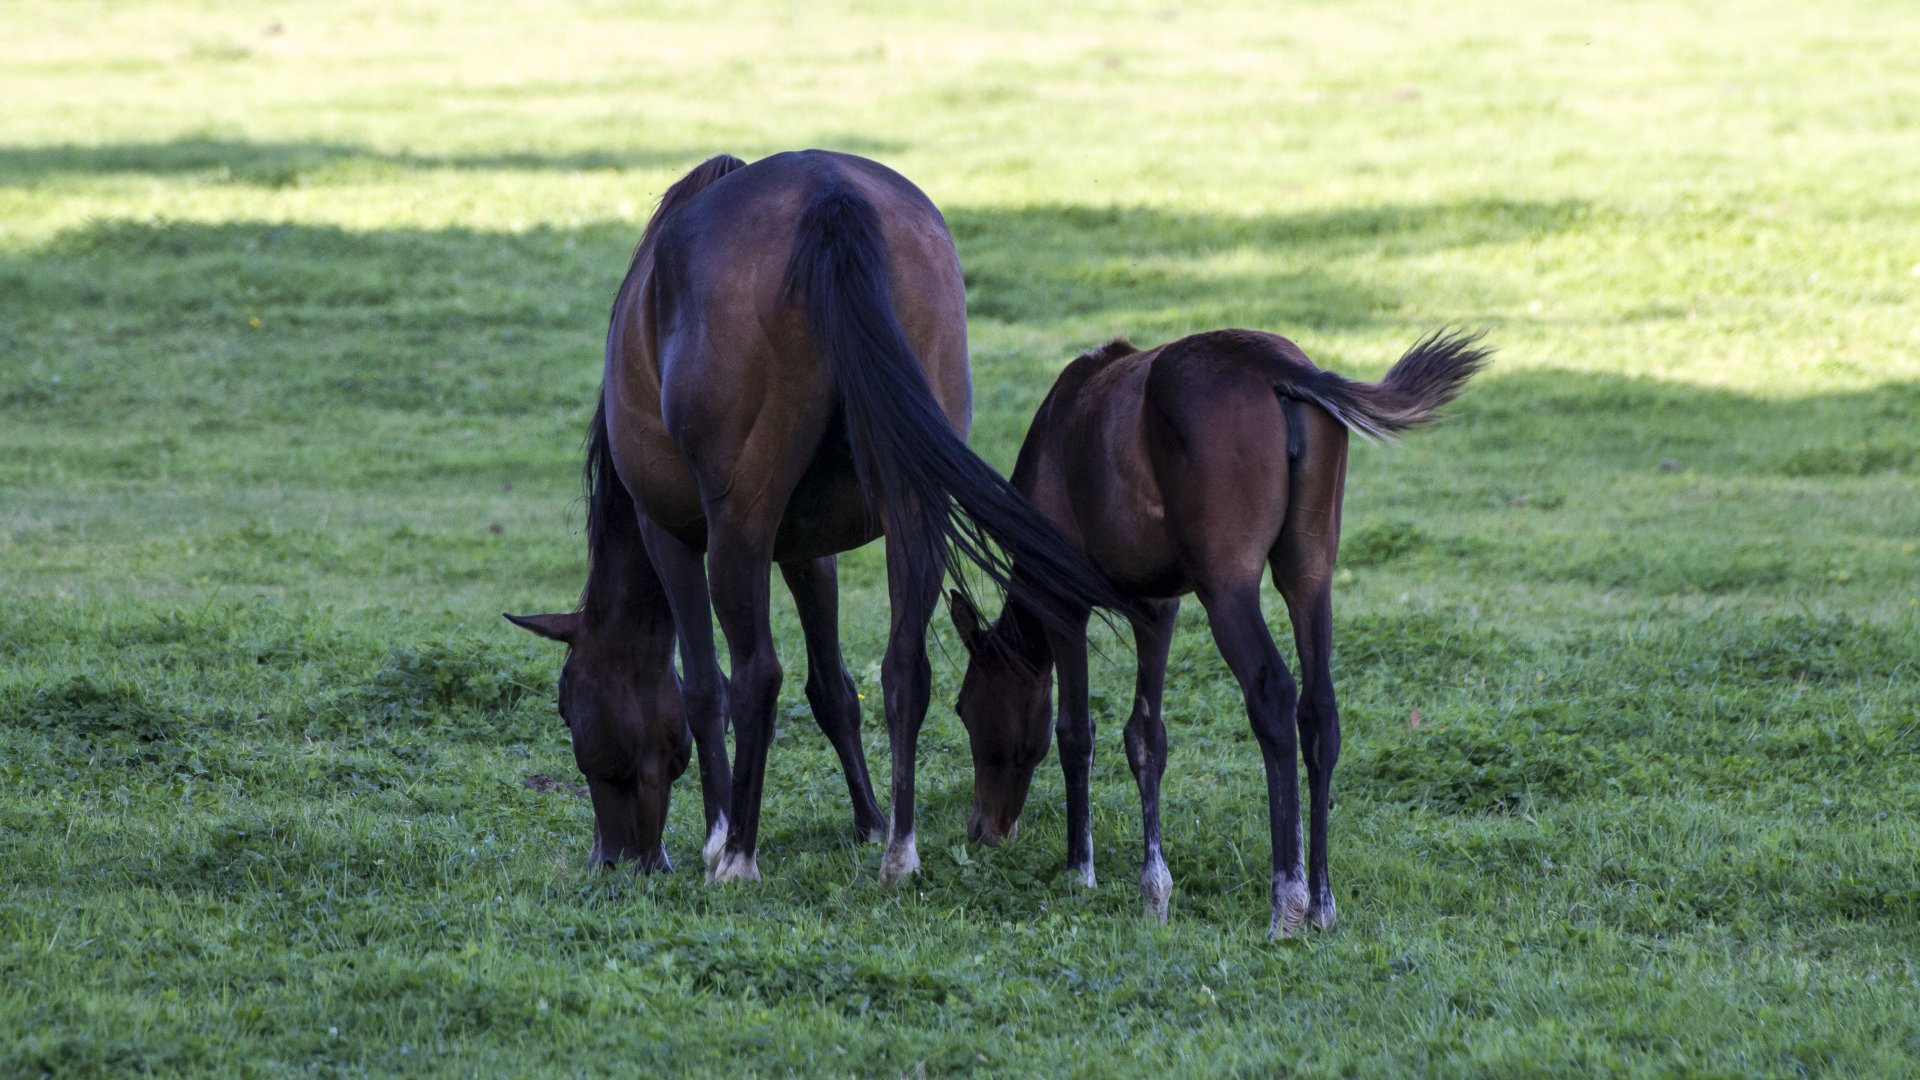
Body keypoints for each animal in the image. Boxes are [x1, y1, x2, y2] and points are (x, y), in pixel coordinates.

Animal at [506, 148, 1121, 876]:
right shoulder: (808, 551)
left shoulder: (671, 536)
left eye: (569, 706)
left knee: (756, 676)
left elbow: (704, 688)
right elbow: (834, 688)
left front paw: (719, 829)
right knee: (903, 665)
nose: (617, 857)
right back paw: (899, 852)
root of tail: (829, 194)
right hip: (911, 509)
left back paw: (738, 857)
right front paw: (870, 821)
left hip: (737, 531)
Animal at [952, 322, 1489, 930]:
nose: (983, 829)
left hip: (1227, 586)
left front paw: (1079, 871)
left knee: (1272, 695)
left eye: (966, 708)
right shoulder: (1156, 607)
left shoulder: (1062, 602)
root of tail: (1276, 366)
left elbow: (1074, 732)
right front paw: (1154, 887)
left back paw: (1287, 898)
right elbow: (1145, 736)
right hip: (1309, 572)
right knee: (1319, 709)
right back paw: (1322, 901)